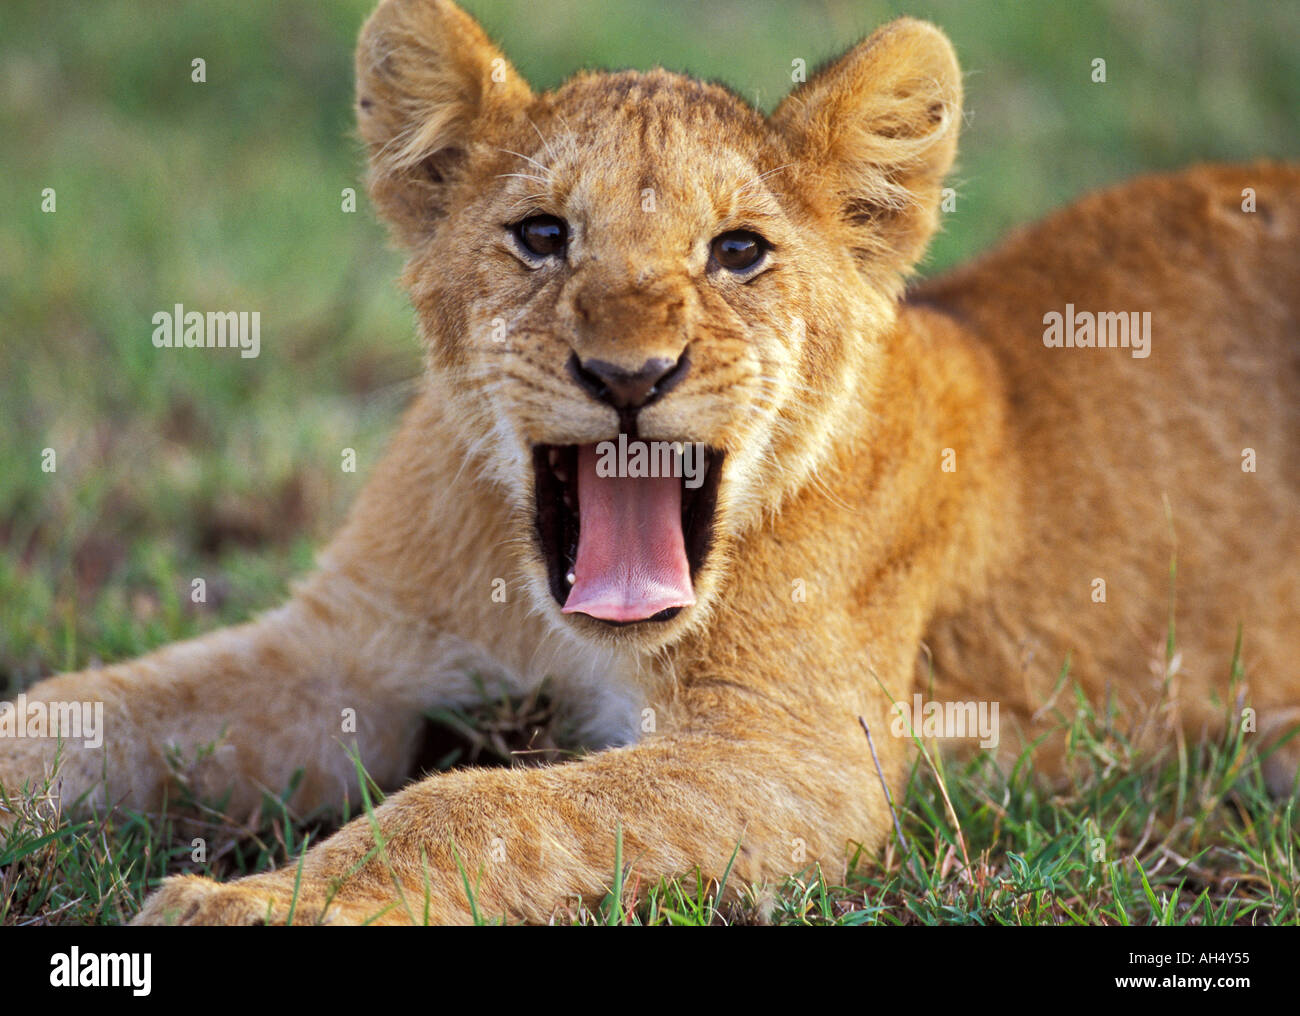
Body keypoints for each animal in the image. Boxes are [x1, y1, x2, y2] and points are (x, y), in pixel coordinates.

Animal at [1, 0, 1296, 925]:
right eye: (540, 236)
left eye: (738, 251)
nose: (628, 375)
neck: (545, 605)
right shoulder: (342, 647)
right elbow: (84, 706)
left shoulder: (796, 755)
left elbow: (477, 802)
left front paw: (257, 902)